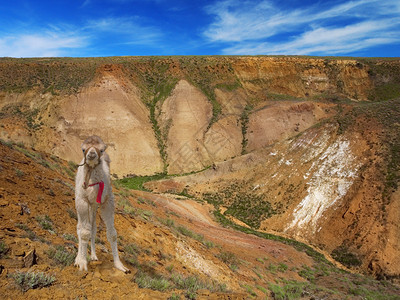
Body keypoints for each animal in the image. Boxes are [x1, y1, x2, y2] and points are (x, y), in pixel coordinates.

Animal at [72, 136, 127, 274]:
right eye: (83, 149)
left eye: (102, 150)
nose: (91, 154)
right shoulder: (82, 201)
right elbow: (83, 232)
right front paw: (82, 263)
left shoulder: (107, 201)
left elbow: (112, 234)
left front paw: (120, 265)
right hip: (81, 202)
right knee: (80, 227)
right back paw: (78, 258)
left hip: (94, 206)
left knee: (93, 227)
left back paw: (93, 256)